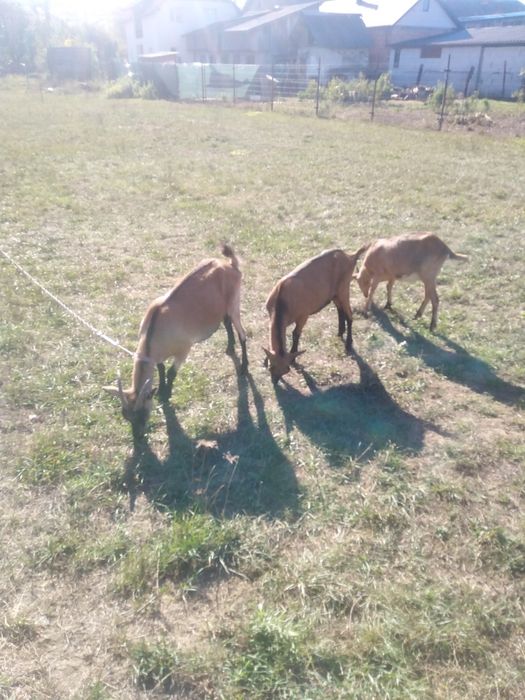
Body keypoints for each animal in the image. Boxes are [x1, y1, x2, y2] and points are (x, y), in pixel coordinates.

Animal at [104, 245, 248, 443]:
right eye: (125, 415)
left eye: (142, 413)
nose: (139, 437)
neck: (155, 330)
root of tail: (231, 265)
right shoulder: (157, 356)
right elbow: (162, 368)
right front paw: (162, 390)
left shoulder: (184, 349)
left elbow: (172, 372)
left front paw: (166, 394)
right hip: (223, 308)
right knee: (226, 322)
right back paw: (229, 348)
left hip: (234, 303)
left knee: (243, 333)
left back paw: (244, 368)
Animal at [264, 246, 368, 384]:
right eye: (271, 367)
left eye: (286, 370)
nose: (275, 381)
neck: (282, 301)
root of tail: (351, 256)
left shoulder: (303, 315)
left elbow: (295, 334)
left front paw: (294, 357)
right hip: (334, 294)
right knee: (340, 310)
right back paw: (340, 332)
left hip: (344, 288)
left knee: (349, 315)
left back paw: (348, 344)